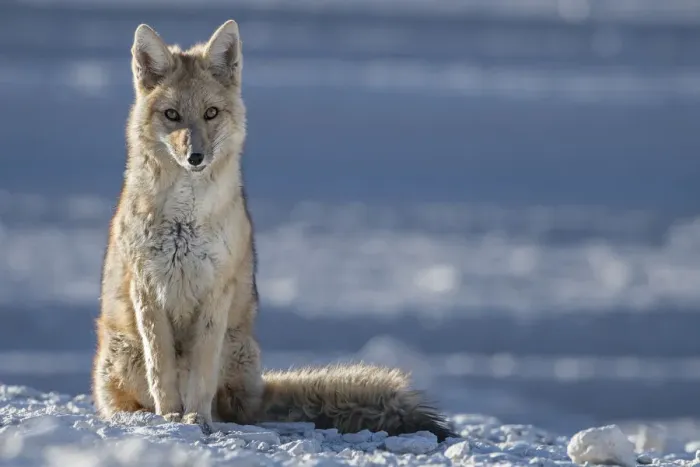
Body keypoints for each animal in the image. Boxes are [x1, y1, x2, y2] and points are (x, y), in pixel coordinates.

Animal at [91, 19, 456, 441]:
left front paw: (195, 420)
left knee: (230, 408)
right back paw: (139, 416)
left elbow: (201, 377)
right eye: (172, 114)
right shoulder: (148, 289)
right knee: (127, 399)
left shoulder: (216, 290)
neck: (184, 222)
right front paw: (170, 420)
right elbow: (161, 373)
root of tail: (258, 389)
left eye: (211, 113)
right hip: (125, 353)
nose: (195, 157)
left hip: (234, 351)